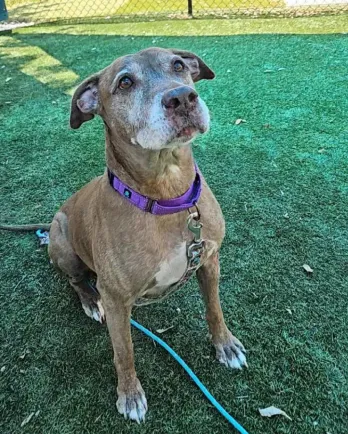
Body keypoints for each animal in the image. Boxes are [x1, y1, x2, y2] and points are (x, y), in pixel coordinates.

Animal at [2, 48, 247, 424]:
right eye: (125, 82)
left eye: (178, 65)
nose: (182, 97)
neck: (167, 196)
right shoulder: (117, 300)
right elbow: (124, 351)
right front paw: (129, 395)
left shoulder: (208, 260)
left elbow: (214, 308)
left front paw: (226, 344)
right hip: (63, 242)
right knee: (76, 281)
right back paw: (90, 301)